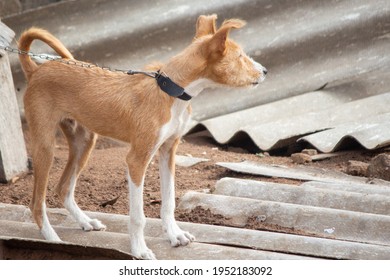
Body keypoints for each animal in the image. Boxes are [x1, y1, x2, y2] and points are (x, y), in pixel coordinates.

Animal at [19, 14, 268, 260]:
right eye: (240, 57)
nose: (265, 71)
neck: (170, 91)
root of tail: (36, 70)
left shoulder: (168, 151)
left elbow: (169, 202)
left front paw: (175, 235)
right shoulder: (136, 160)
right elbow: (138, 216)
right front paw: (139, 250)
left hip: (84, 142)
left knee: (63, 188)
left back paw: (86, 222)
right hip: (45, 146)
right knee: (36, 203)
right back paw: (52, 239)